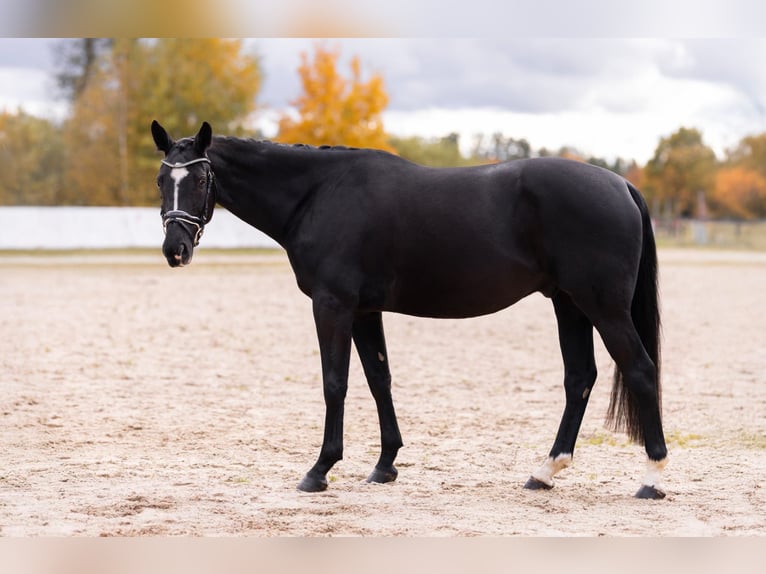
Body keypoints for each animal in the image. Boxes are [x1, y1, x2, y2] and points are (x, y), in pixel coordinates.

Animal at [151, 120, 668, 499]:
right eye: (160, 179)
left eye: (200, 178)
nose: (175, 250)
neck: (320, 193)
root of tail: (621, 184)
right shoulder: (364, 311)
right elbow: (379, 379)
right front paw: (385, 466)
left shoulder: (333, 305)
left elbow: (335, 383)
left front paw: (320, 469)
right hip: (569, 304)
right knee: (579, 378)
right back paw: (545, 471)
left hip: (603, 307)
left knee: (641, 370)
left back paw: (652, 478)